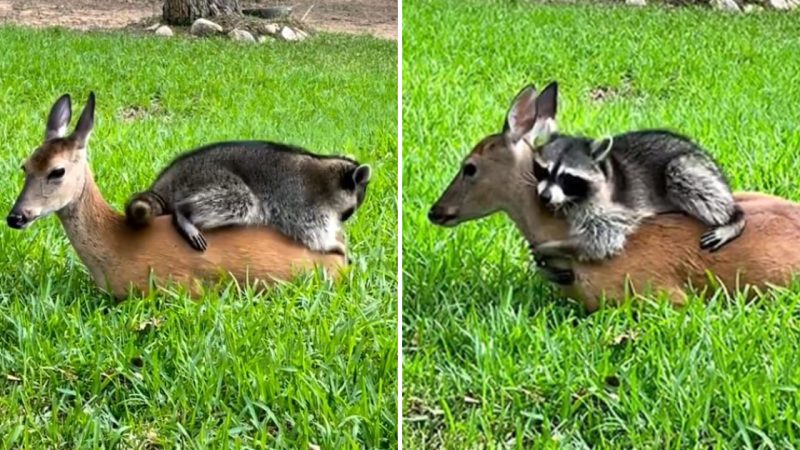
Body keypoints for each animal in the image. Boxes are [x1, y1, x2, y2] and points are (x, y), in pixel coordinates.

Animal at [126, 141, 372, 253]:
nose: (345, 220)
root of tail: (171, 174)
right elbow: (309, 230)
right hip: (212, 177)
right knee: (240, 200)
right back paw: (184, 213)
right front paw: (331, 245)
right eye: (351, 210)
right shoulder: (300, 197)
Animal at [532, 130, 744, 262]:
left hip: (689, 166)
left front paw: (555, 247)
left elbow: (604, 238)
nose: (544, 196)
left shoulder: (613, 206)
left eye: (567, 178)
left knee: (685, 176)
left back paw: (734, 217)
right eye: (543, 170)